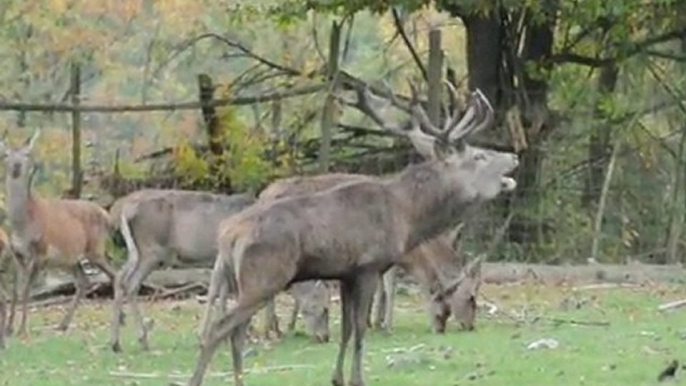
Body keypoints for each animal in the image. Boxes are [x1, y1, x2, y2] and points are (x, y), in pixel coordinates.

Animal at [1, 130, 117, 334]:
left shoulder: (40, 251)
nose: (16, 167)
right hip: (71, 258)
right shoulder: (17, 253)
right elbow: (15, 291)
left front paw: (22, 329)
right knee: (84, 281)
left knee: (114, 274)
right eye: (5, 154)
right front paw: (9, 329)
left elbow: (26, 290)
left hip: (95, 248)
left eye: (27, 154)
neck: (23, 224)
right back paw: (63, 324)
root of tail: (107, 215)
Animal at [107, 188, 255, 352]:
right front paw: (202, 336)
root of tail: (124, 209)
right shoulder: (220, 254)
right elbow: (215, 290)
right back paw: (142, 339)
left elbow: (223, 292)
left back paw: (116, 343)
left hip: (137, 253)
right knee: (131, 283)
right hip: (151, 250)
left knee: (119, 277)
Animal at [191, 85, 520, 386]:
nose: (514, 157)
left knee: (234, 332)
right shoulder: (368, 267)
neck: (406, 215)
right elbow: (361, 329)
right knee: (218, 329)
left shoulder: (345, 274)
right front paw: (357, 378)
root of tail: (228, 235)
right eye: (479, 156)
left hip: (241, 281)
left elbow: (347, 329)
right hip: (263, 277)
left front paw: (337, 377)